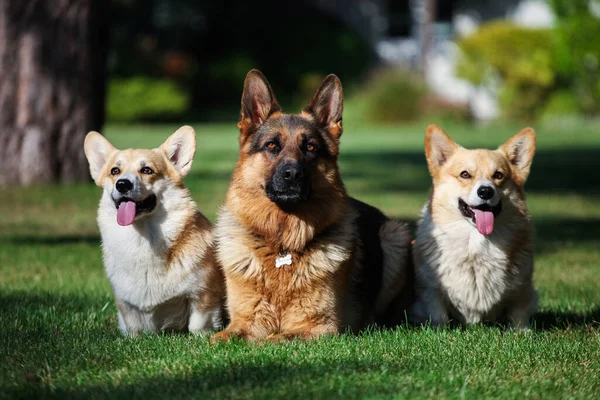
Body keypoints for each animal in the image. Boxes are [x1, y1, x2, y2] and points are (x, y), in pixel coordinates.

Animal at [84, 126, 225, 334]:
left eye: (146, 170)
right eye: (115, 171)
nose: (122, 184)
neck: (143, 238)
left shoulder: (203, 294)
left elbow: (198, 324)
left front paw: (201, 336)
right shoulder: (126, 304)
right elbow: (133, 327)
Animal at [211, 69, 412, 340]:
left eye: (310, 147)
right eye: (272, 145)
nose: (292, 175)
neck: (282, 245)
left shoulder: (320, 327)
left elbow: (275, 339)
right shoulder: (243, 323)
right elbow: (218, 339)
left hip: (394, 235)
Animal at [412, 126, 540, 328]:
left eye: (498, 175)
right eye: (465, 174)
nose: (486, 191)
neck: (476, 241)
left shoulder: (523, 288)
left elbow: (518, 313)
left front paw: (522, 331)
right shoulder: (430, 289)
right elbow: (438, 314)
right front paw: (439, 330)